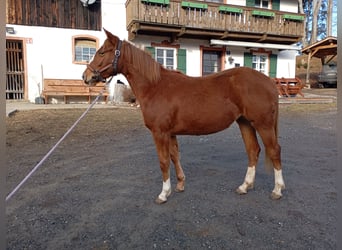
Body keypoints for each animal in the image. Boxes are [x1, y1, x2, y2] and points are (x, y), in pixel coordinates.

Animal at [83, 29, 286, 204]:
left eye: (102, 52)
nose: (86, 76)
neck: (155, 86)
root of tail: (268, 81)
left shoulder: (159, 133)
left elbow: (164, 161)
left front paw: (163, 194)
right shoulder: (170, 133)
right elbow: (174, 157)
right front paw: (180, 184)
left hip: (263, 124)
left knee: (274, 150)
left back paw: (277, 190)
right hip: (245, 123)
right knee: (253, 151)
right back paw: (244, 186)